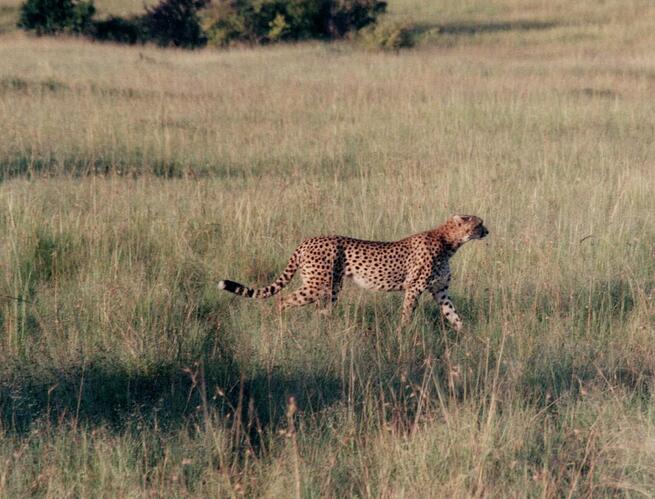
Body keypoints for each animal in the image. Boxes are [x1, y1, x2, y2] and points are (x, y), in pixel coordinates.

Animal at [218, 216, 490, 330]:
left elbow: (454, 316)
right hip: (317, 285)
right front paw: (403, 335)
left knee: (321, 312)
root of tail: (306, 241)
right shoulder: (414, 288)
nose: (487, 231)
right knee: (283, 300)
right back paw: (281, 326)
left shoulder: (440, 290)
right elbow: (407, 314)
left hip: (330, 289)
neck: (449, 242)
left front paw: (466, 336)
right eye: (479, 223)